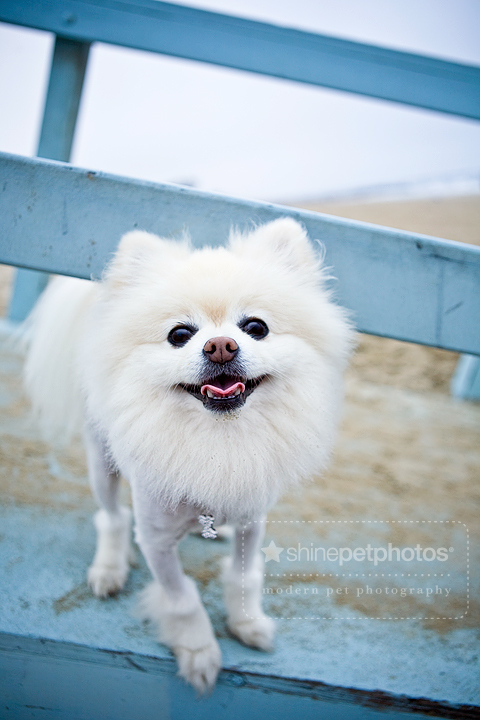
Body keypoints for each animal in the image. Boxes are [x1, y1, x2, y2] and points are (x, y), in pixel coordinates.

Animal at [22, 218, 352, 692]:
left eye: (256, 327)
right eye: (179, 335)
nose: (221, 345)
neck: (214, 441)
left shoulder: (253, 521)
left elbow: (244, 574)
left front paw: (247, 623)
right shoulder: (157, 541)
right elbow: (181, 599)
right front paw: (198, 651)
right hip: (101, 463)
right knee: (111, 516)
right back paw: (109, 567)